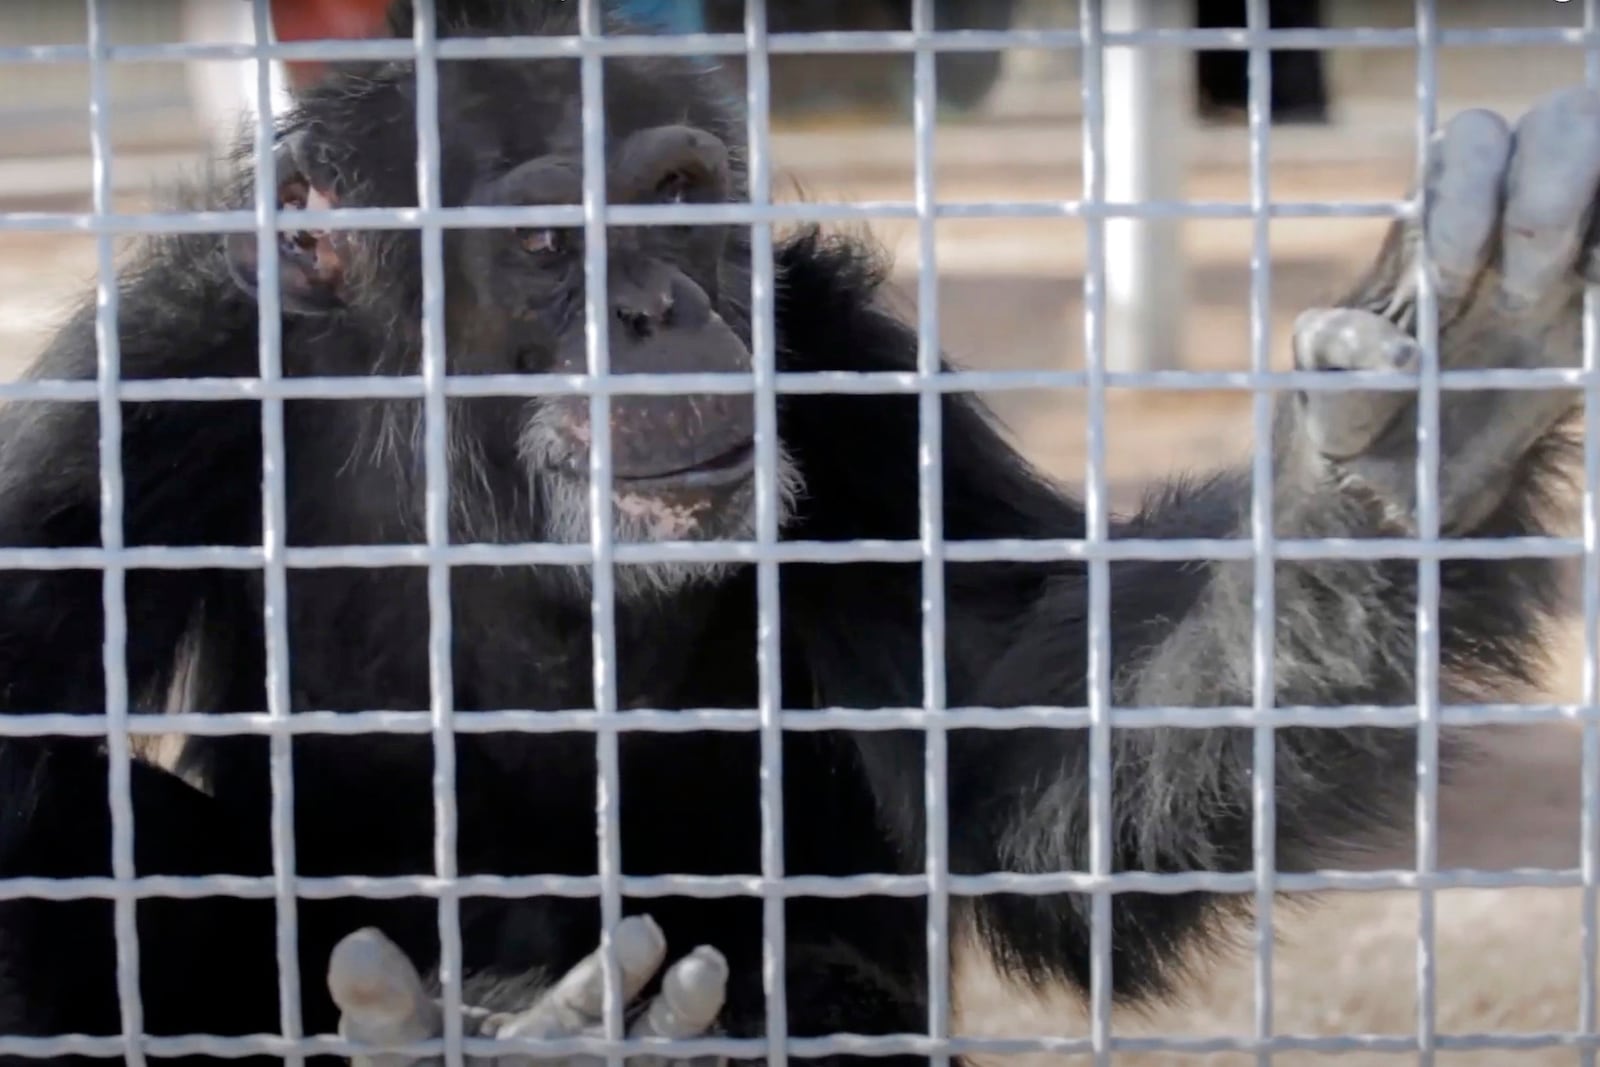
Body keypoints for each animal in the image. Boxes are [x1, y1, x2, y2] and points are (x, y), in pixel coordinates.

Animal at [0, 2, 1580, 1067]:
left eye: (673, 196)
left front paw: (1426, 435)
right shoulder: (149, 393)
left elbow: (1036, 777)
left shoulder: (852, 378)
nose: (659, 307)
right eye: (547, 239)